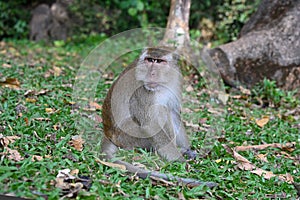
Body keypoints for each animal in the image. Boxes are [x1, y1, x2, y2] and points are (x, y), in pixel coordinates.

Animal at [102, 47, 217, 188]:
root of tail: (108, 132)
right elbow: (151, 124)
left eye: (159, 62)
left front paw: (187, 150)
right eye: (150, 60)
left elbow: (173, 112)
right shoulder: (141, 92)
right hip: (128, 136)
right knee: (161, 110)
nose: (151, 73)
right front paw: (182, 162)